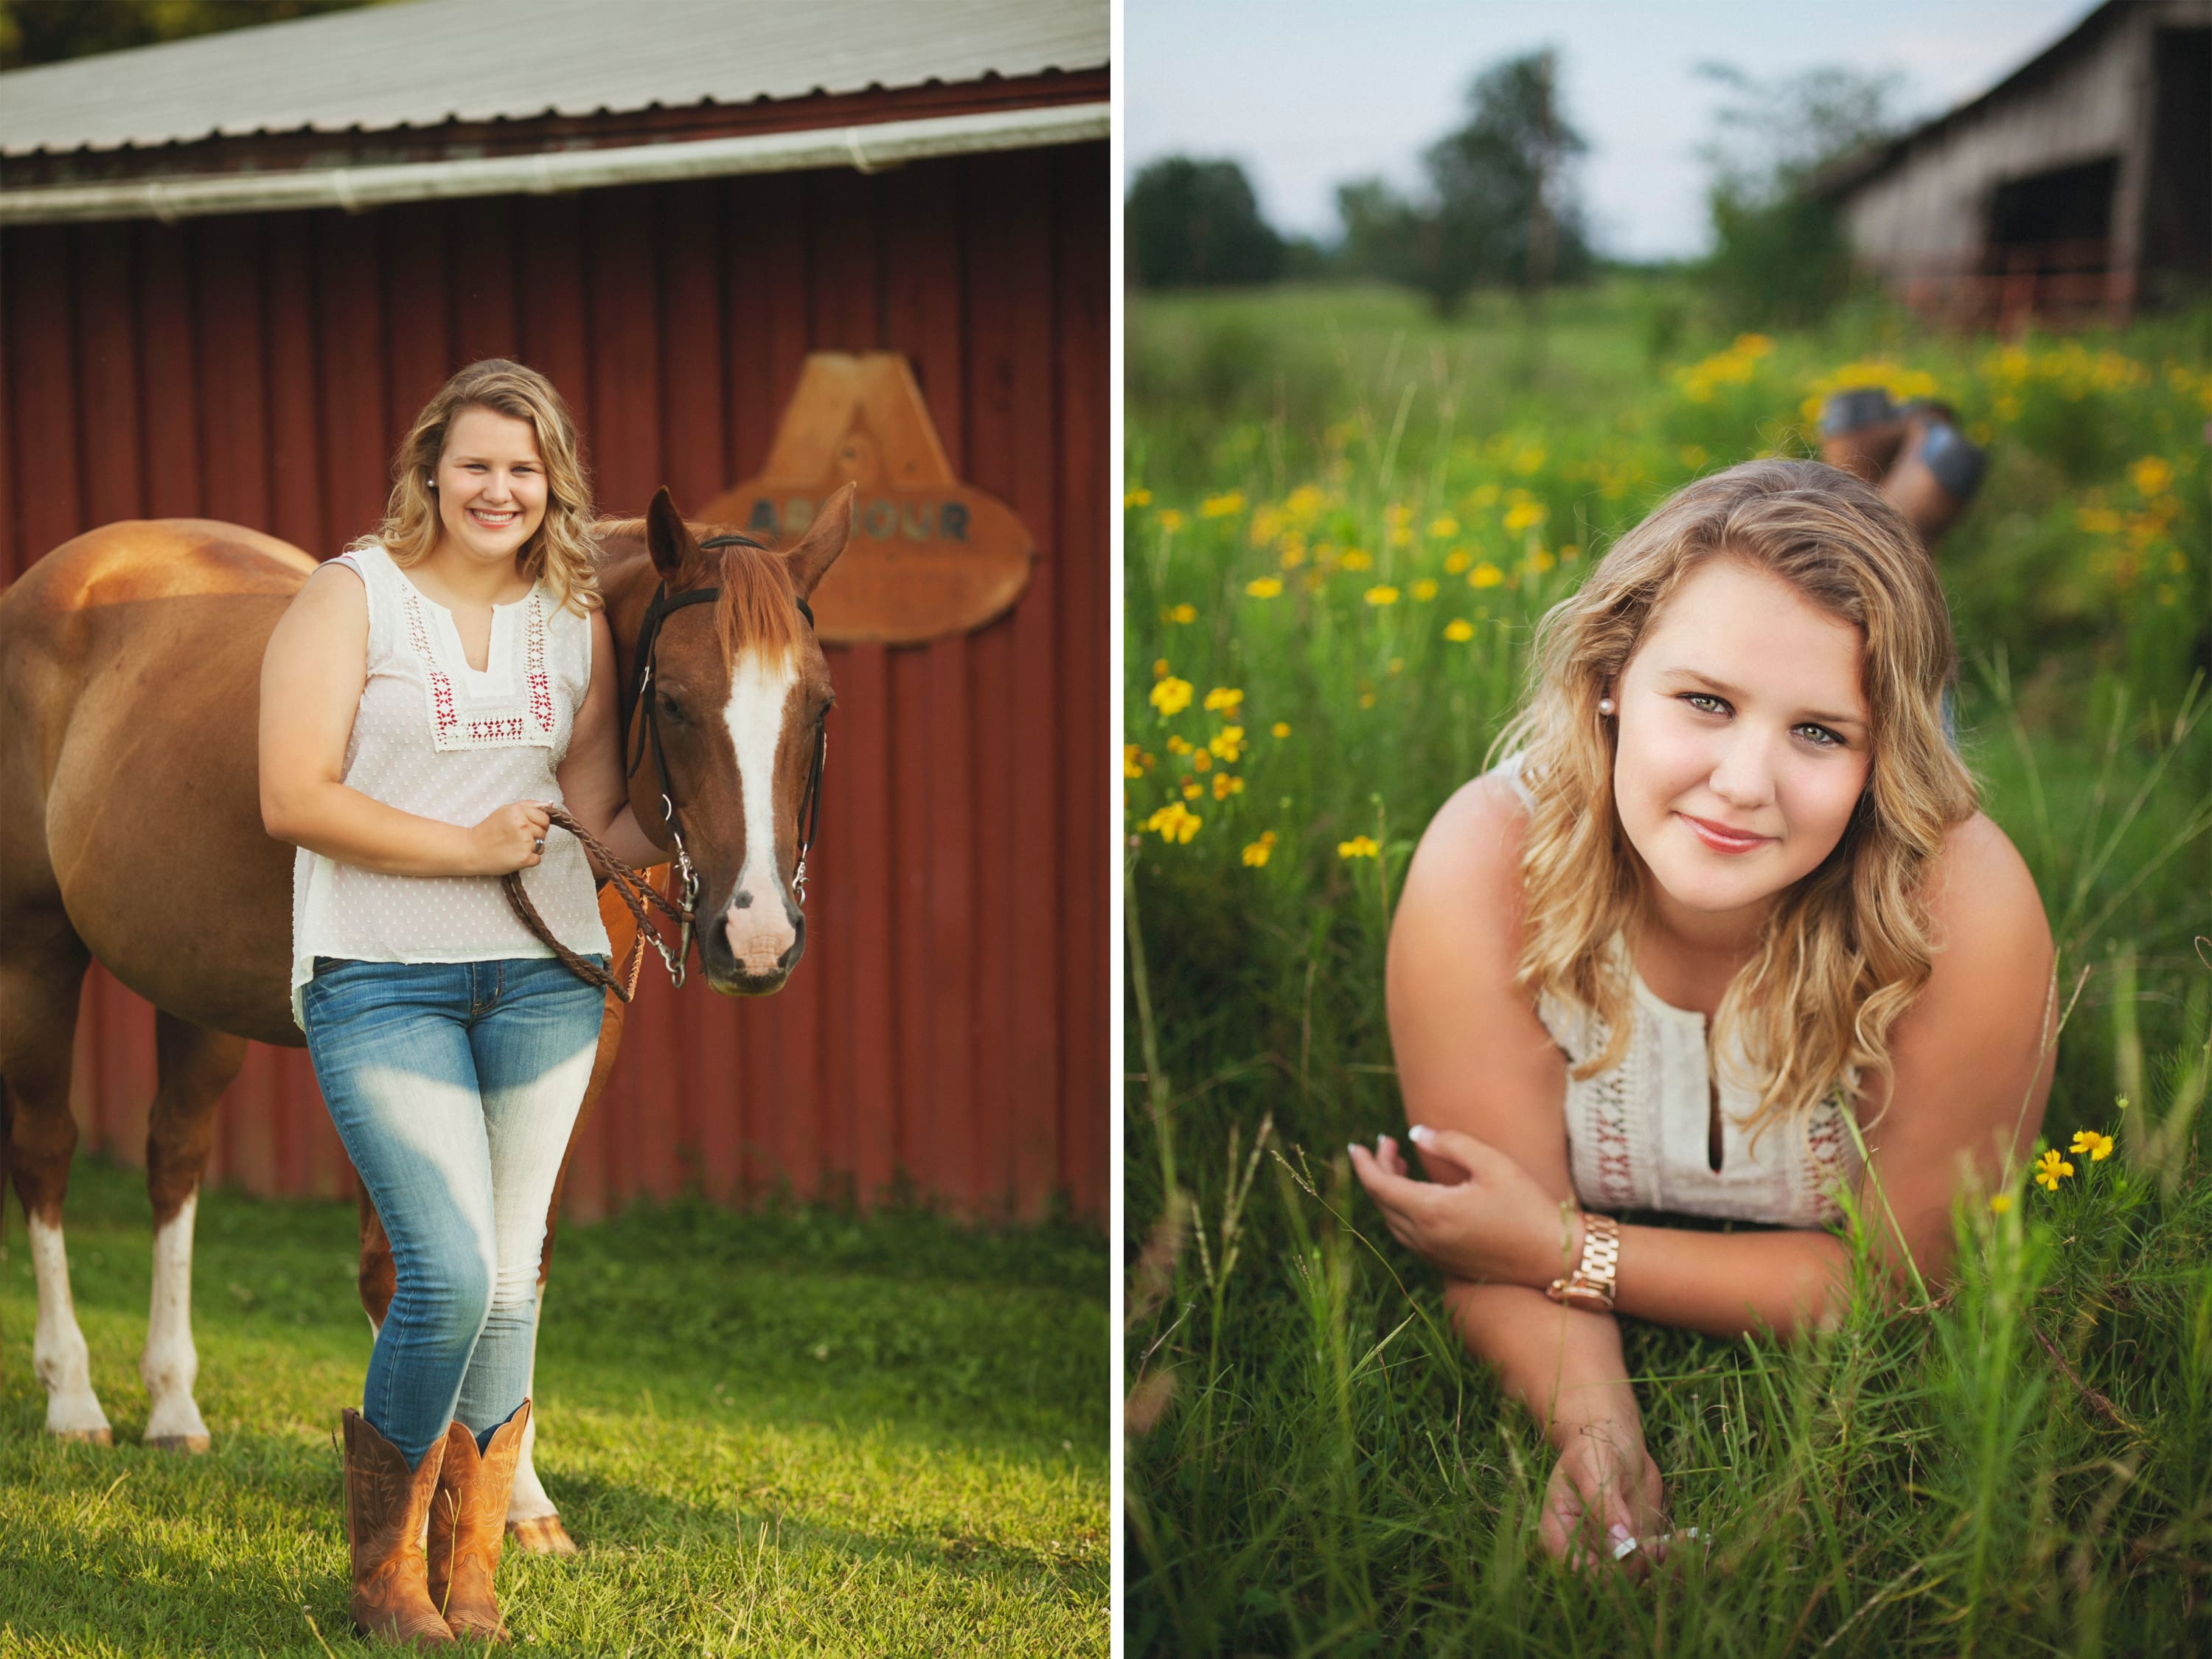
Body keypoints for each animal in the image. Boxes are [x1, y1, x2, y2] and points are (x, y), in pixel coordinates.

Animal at [0, 487, 849, 1557]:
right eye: (675, 702)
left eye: (818, 707)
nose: (758, 935)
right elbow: (402, 1270)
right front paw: (434, 1485)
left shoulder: (574, 1057)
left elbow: (521, 1255)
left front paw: (512, 1493)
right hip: (36, 952)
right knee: (44, 1153)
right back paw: (73, 1400)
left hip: (193, 992)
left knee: (174, 1159)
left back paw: (173, 1407)